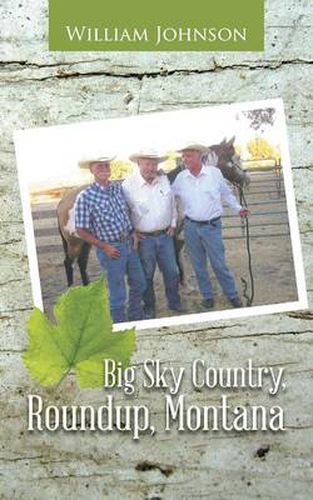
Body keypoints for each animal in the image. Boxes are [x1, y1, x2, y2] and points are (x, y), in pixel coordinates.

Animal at [55, 138, 246, 286]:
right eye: (235, 158)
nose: (245, 178)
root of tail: (63, 201)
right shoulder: (175, 234)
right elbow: (176, 258)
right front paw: (182, 284)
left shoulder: (178, 233)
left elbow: (178, 258)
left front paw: (183, 282)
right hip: (75, 243)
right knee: (68, 263)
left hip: (85, 243)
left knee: (81, 263)